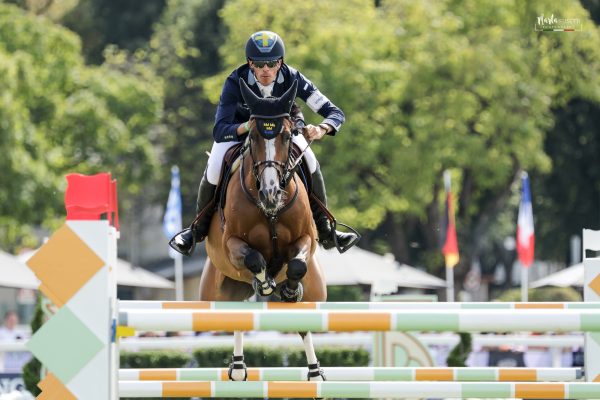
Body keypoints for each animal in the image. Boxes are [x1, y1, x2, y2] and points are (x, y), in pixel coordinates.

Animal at [199, 78, 326, 382]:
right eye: (254, 136)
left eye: (288, 137)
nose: (271, 193)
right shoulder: (231, 243)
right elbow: (255, 259)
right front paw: (265, 283)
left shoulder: (306, 239)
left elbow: (296, 265)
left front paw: (289, 289)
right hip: (217, 293)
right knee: (236, 314)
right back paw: (237, 368)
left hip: (316, 293)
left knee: (303, 323)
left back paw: (315, 373)